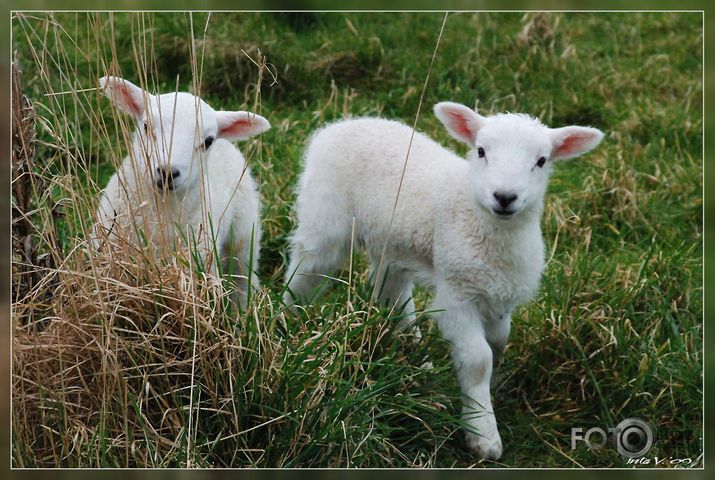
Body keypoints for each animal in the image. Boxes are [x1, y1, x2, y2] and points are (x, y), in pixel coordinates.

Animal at [95, 77, 268, 306]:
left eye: (208, 141)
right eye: (146, 126)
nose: (167, 172)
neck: (162, 213)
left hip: (244, 237)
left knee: (243, 279)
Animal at [286, 102, 604, 462]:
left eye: (541, 161)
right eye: (481, 151)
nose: (504, 196)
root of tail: (343, 124)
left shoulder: (498, 297)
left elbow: (498, 344)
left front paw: (488, 393)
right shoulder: (457, 293)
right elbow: (479, 360)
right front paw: (483, 433)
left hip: (390, 240)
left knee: (390, 291)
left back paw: (410, 353)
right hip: (325, 221)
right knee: (303, 272)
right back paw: (287, 324)